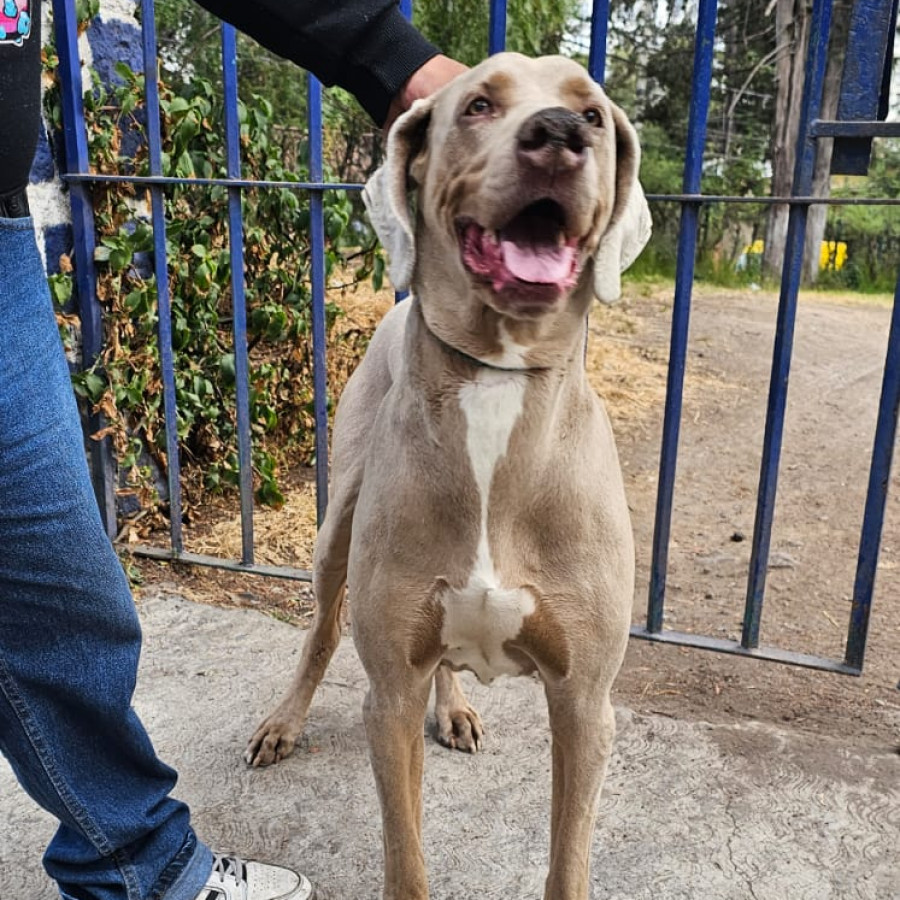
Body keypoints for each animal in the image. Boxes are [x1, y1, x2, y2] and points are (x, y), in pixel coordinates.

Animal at [244, 51, 652, 900]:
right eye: (479, 105)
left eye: (592, 114)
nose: (557, 134)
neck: (497, 376)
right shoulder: (390, 696)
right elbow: (405, 854)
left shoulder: (585, 704)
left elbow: (568, 860)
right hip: (334, 535)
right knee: (320, 635)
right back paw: (284, 724)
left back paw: (455, 707)